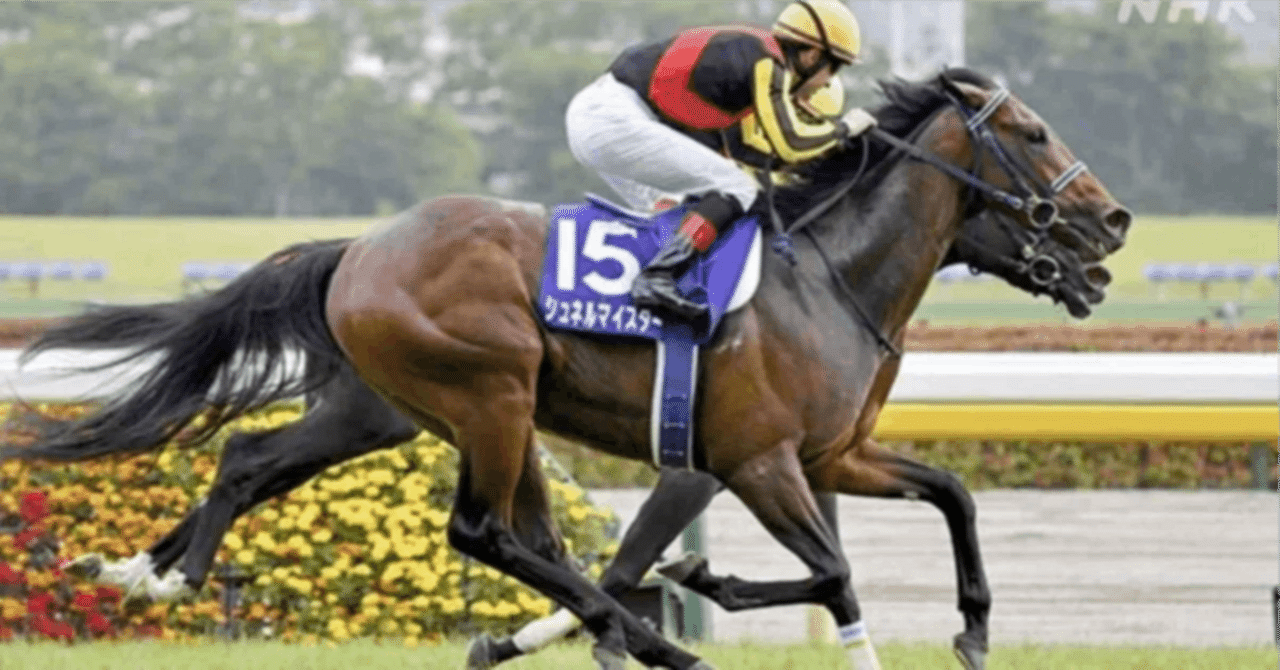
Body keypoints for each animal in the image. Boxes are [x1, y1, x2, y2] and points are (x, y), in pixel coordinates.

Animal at [4, 68, 1129, 670]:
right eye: (1032, 133)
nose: (1112, 223)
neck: (829, 277)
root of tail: (361, 247)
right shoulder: (756, 459)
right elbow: (831, 568)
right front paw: (702, 580)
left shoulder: (831, 454)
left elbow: (952, 494)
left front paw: (971, 632)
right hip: (488, 393)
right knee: (485, 531)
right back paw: (650, 638)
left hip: (386, 410)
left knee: (252, 459)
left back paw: (152, 573)